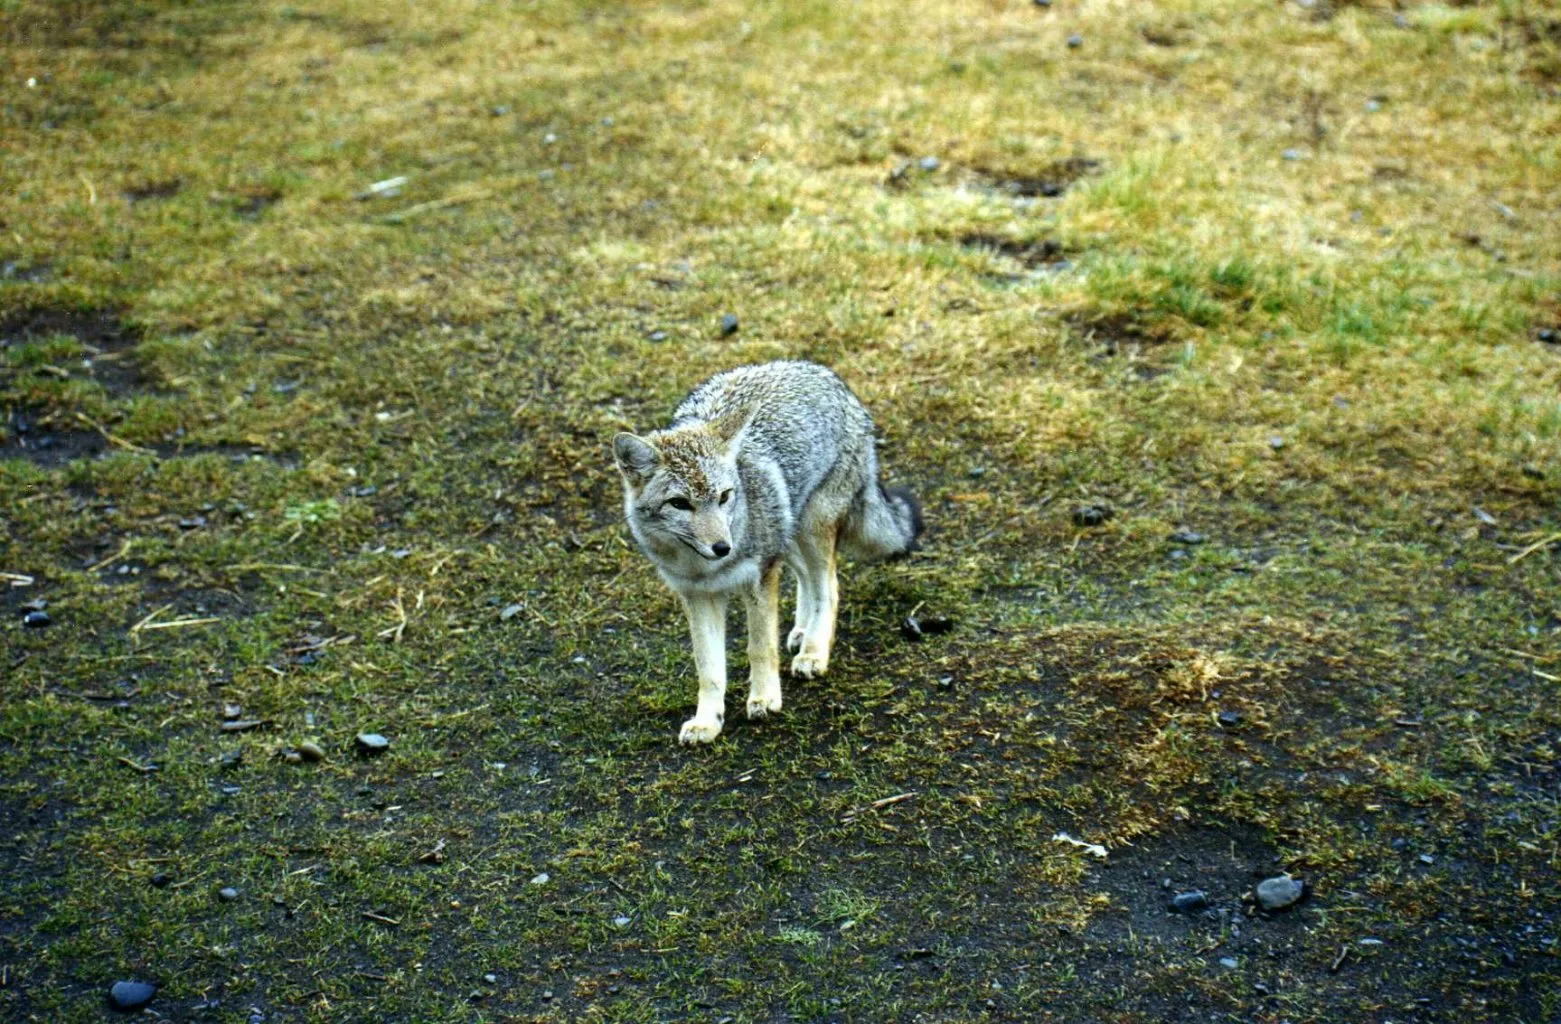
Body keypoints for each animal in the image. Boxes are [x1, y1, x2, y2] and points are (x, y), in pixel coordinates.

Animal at [612, 360, 924, 744]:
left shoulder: (759, 578)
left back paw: (814, 651)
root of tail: (820, 370)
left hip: (811, 528)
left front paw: (763, 698)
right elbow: (708, 667)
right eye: (679, 504)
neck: (704, 569)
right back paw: (803, 631)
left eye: (724, 496)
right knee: (806, 577)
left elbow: (760, 647)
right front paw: (707, 721)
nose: (723, 547)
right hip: (788, 532)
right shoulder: (697, 596)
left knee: (829, 585)